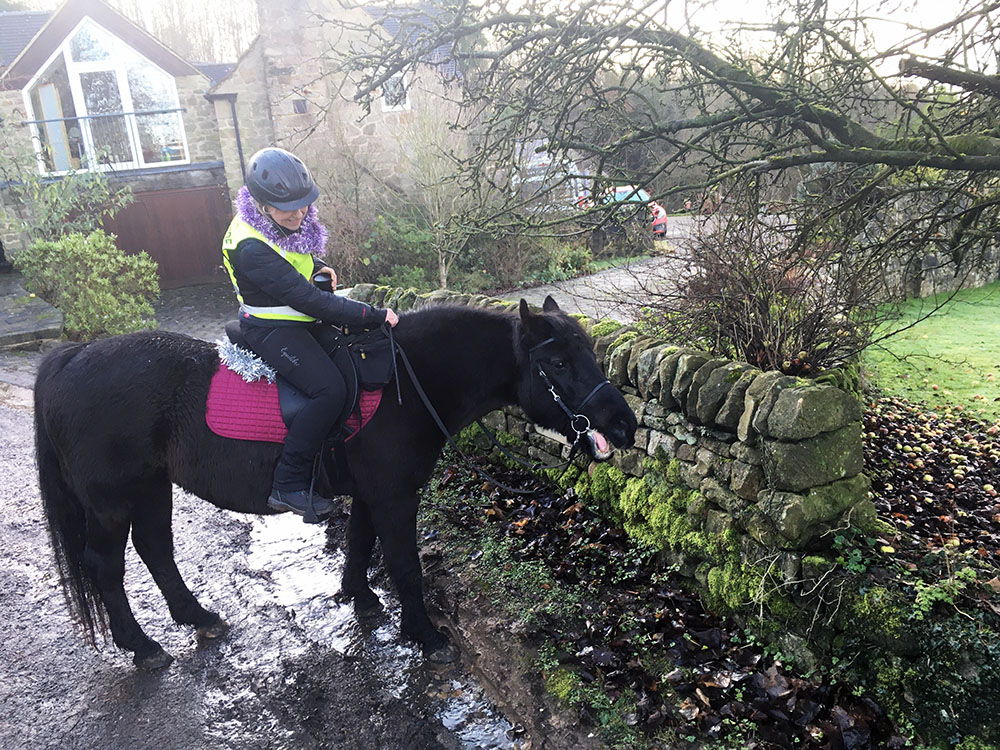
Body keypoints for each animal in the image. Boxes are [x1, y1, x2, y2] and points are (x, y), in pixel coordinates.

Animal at [33, 295, 637, 669]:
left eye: (587, 353)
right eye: (557, 364)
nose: (624, 426)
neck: (403, 382)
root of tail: (74, 355)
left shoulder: (374, 494)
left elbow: (361, 543)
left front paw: (360, 598)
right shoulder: (395, 496)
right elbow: (405, 566)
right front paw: (426, 636)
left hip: (151, 488)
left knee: (156, 548)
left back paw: (198, 618)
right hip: (112, 502)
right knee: (106, 566)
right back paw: (142, 646)